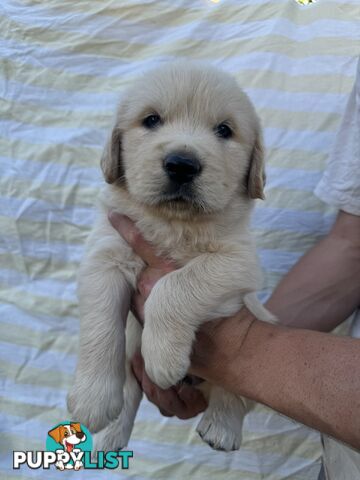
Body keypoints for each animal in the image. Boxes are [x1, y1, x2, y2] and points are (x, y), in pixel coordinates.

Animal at [67, 62, 276, 452]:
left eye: (224, 130)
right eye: (151, 120)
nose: (182, 164)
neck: (174, 224)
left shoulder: (239, 262)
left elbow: (175, 285)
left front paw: (163, 355)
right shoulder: (105, 256)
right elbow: (100, 324)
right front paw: (91, 398)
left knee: (234, 396)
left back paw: (222, 427)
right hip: (130, 353)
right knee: (130, 391)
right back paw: (110, 440)